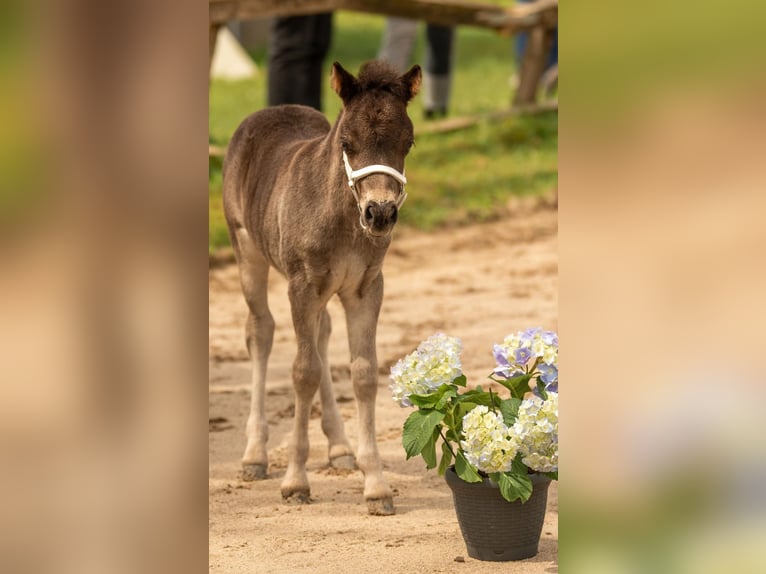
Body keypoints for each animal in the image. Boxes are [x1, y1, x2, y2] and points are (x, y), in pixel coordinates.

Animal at [225, 60, 424, 516]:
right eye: (347, 142)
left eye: (407, 141)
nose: (380, 213)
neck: (345, 219)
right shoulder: (303, 285)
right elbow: (304, 372)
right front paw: (295, 482)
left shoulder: (366, 287)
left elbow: (363, 373)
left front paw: (376, 486)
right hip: (248, 252)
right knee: (260, 330)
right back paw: (254, 455)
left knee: (320, 333)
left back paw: (340, 448)